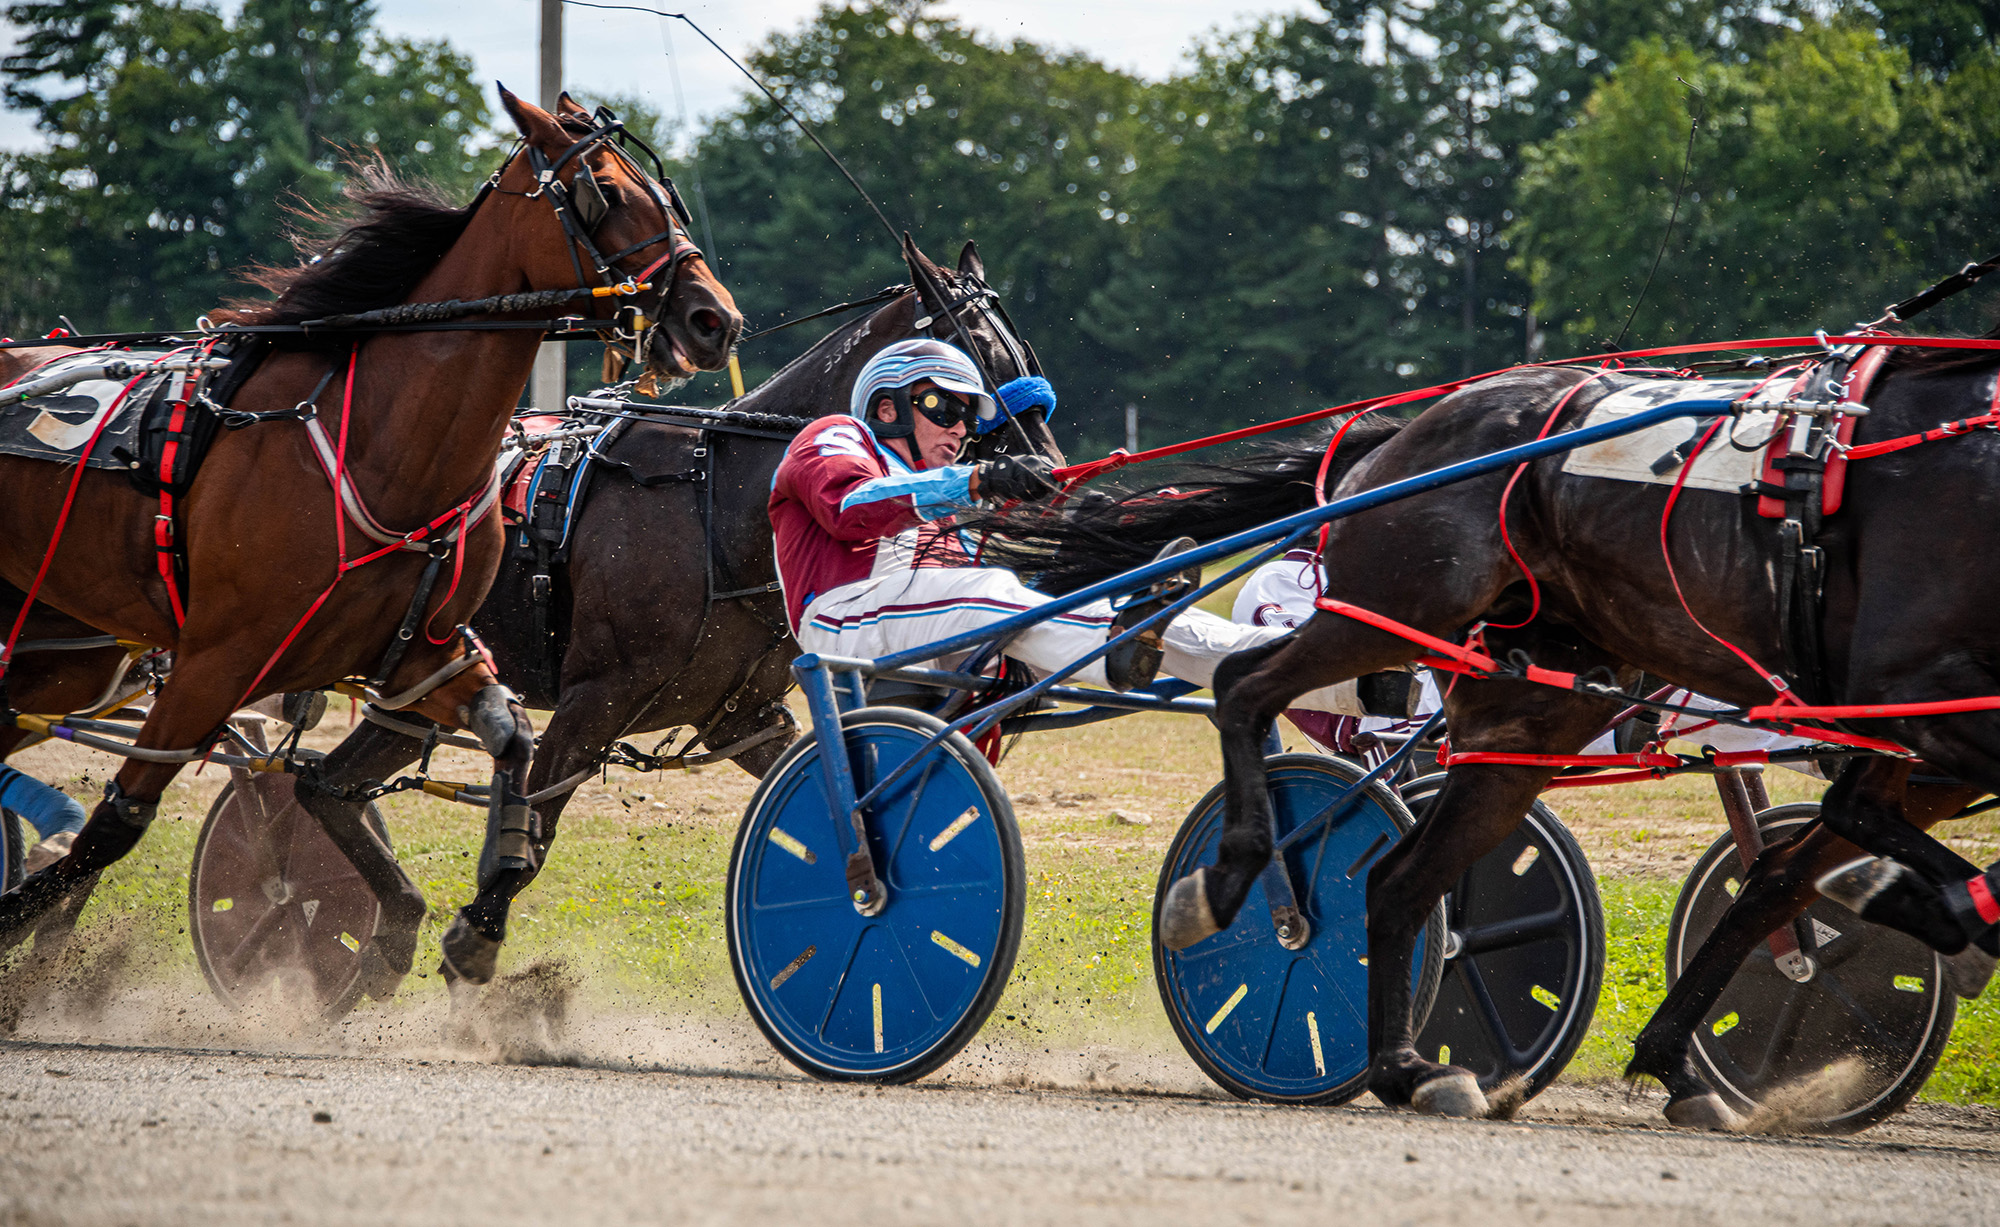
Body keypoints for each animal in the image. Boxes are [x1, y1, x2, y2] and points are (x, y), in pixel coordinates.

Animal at [0, 88, 744, 991]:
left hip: (59, 649)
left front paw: (469, 920)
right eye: (603, 190)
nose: (714, 319)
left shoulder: (425, 655)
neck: (383, 442)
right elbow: (117, 822)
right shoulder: (216, 659)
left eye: (665, 193)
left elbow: (511, 742)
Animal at [292, 235, 1064, 1003]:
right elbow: (528, 837)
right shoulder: (594, 701)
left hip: (421, 683)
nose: (1047, 471)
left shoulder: (742, 717)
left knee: (324, 785)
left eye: (1022, 350)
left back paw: (389, 930)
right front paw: (472, 948)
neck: (719, 503)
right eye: (977, 360)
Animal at [980, 343, 2000, 1127]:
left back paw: (1410, 1068)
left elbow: (1783, 876)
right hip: (1402, 610)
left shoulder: (1912, 740)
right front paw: (1940, 914)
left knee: (1394, 871)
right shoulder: (1921, 713)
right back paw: (1224, 875)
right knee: (1245, 691)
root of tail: (1410, 429)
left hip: (1535, 697)